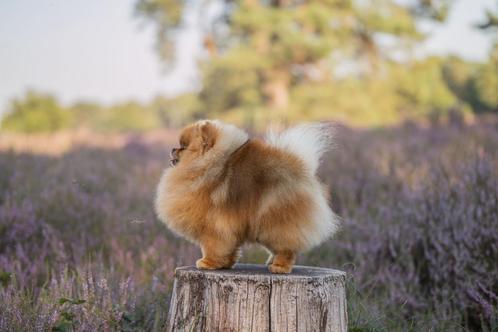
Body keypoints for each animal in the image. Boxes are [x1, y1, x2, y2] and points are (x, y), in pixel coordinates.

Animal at [156, 119, 338, 272]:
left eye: (183, 146)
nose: (173, 149)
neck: (203, 167)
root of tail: (301, 168)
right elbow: (229, 249)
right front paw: (226, 264)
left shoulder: (214, 226)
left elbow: (212, 247)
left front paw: (207, 263)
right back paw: (272, 262)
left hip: (275, 222)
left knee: (286, 248)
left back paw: (279, 267)